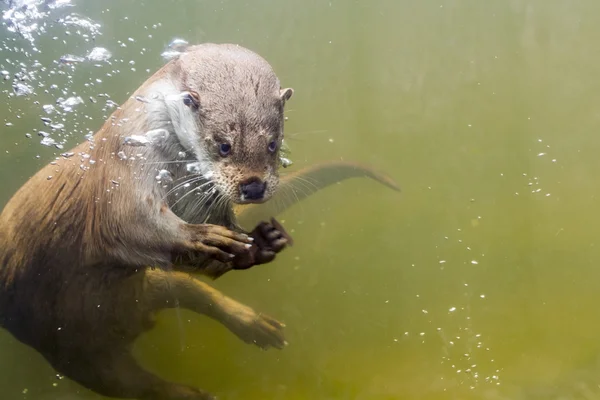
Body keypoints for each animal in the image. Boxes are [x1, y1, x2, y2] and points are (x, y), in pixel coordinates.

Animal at [1, 42, 404, 398]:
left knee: (193, 291)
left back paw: (258, 327)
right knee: (134, 384)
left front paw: (259, 242)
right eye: (223, 144)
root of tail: (135, 323)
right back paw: (195, 393)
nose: (254, 186)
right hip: (72, 349)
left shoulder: (197, 195)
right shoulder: (121, 169)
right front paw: (203, 236)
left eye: (273, 144)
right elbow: (129, 221)